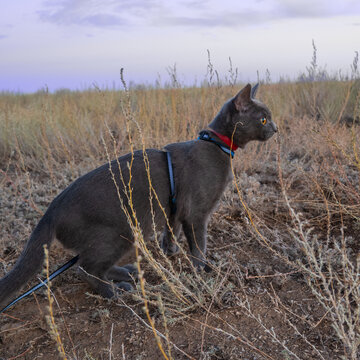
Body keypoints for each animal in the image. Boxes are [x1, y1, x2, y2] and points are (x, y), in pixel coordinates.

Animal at [0, 83, 278, 308]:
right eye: (263, 119)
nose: (276, 129)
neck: (217, 144)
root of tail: (51, 211)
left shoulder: (175, 208)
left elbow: (172, 230)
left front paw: (171, 251)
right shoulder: (196, 213)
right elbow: (199, 244)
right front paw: (202, 269)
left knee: (93, 264)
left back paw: (127, 272)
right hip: (120, 230)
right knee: (85, 269)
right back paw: (115, 292)